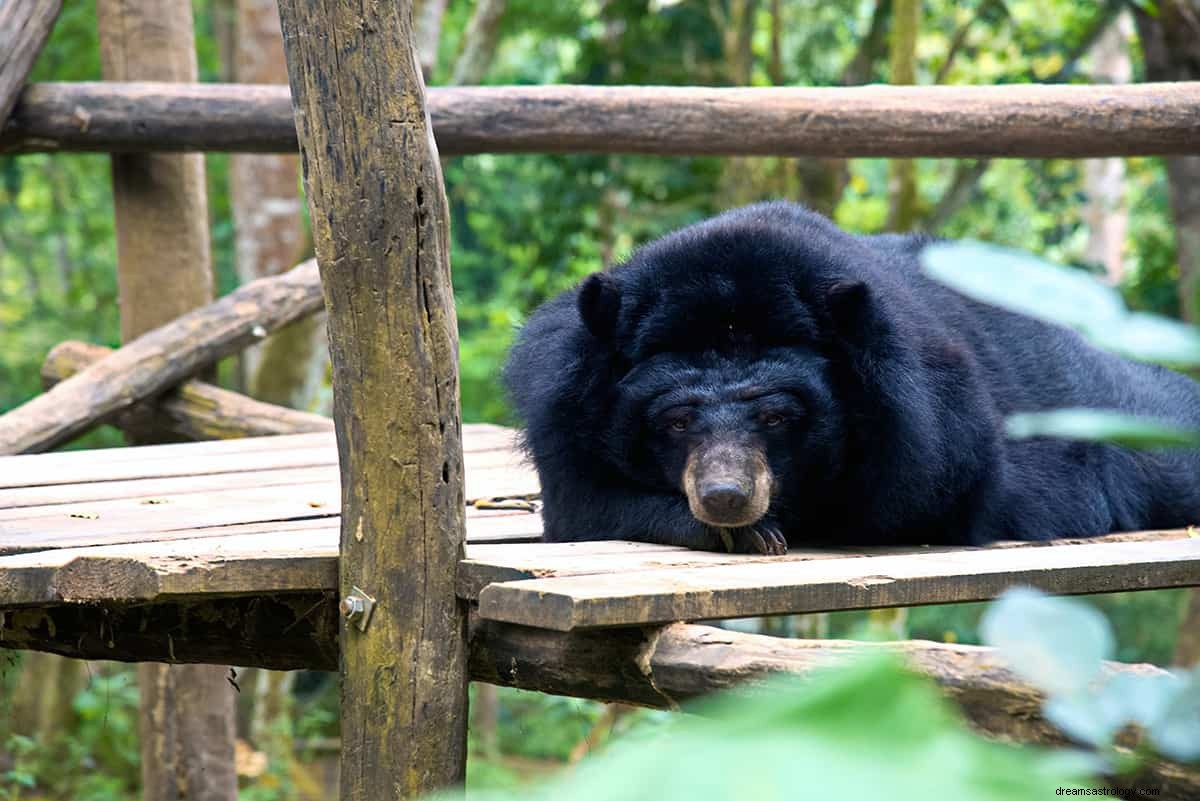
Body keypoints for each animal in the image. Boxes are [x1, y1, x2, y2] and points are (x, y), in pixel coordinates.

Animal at [501, 200, 1200, 553]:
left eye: (777, 416)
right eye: (674, 421)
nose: (726, 495)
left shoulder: (930, 426)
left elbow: (905, 508)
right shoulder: (562, 402)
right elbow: (586, 505)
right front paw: (752, 532)